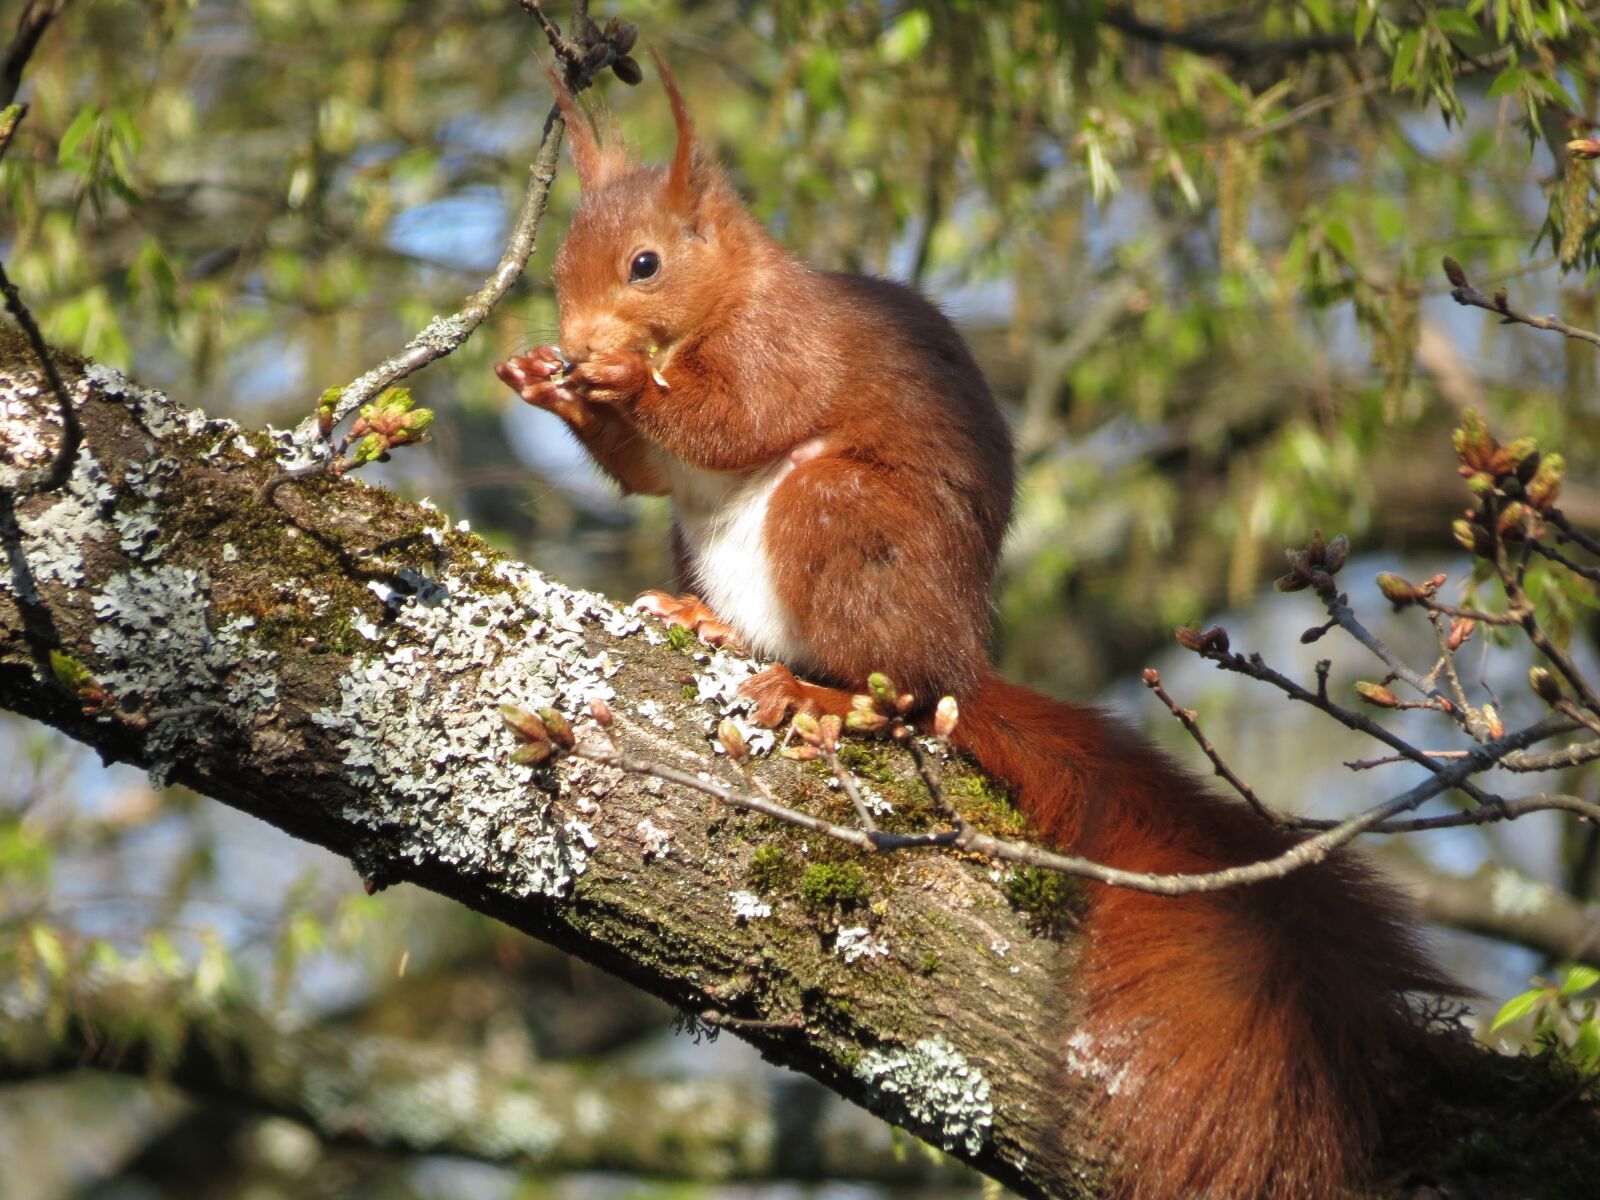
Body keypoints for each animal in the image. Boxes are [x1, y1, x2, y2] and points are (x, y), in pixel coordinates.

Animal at [489, 61, 1452, 1200]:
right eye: (559, 264)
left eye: (645, 264)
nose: (580, 344)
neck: (723, 303)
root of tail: (964, 663)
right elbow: (645, 471)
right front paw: (550, 385)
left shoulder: (788, 351)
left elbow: (737, 418)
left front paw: (625, 381)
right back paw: (707, 624)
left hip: (841, 521)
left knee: (899, 689)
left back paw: (820, 695)